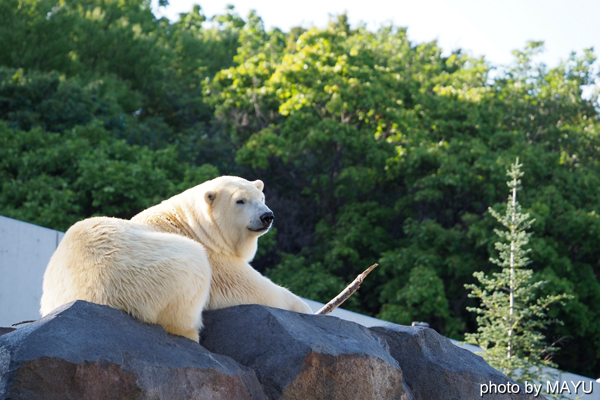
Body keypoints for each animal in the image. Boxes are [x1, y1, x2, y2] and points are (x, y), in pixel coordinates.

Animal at [39, 176, 312, 340]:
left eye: (262, 198)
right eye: (240, 201)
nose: (267, 216)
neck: (192, 223)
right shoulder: (213, 255)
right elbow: (248, 287)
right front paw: (305, 308)